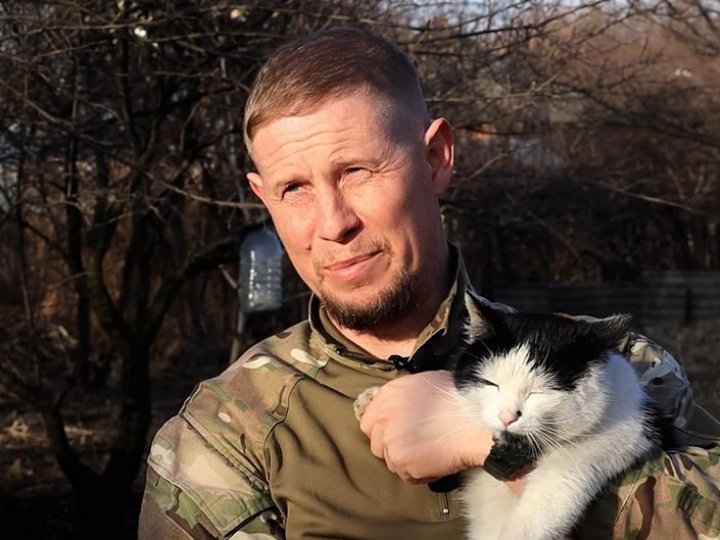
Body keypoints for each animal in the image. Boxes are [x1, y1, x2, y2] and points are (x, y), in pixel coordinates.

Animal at [354, 294, 665, 540]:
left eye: (541, 392)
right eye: (492, 384)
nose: (507, 416)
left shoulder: (626, 432)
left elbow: (553, 492)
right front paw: (371, 398)